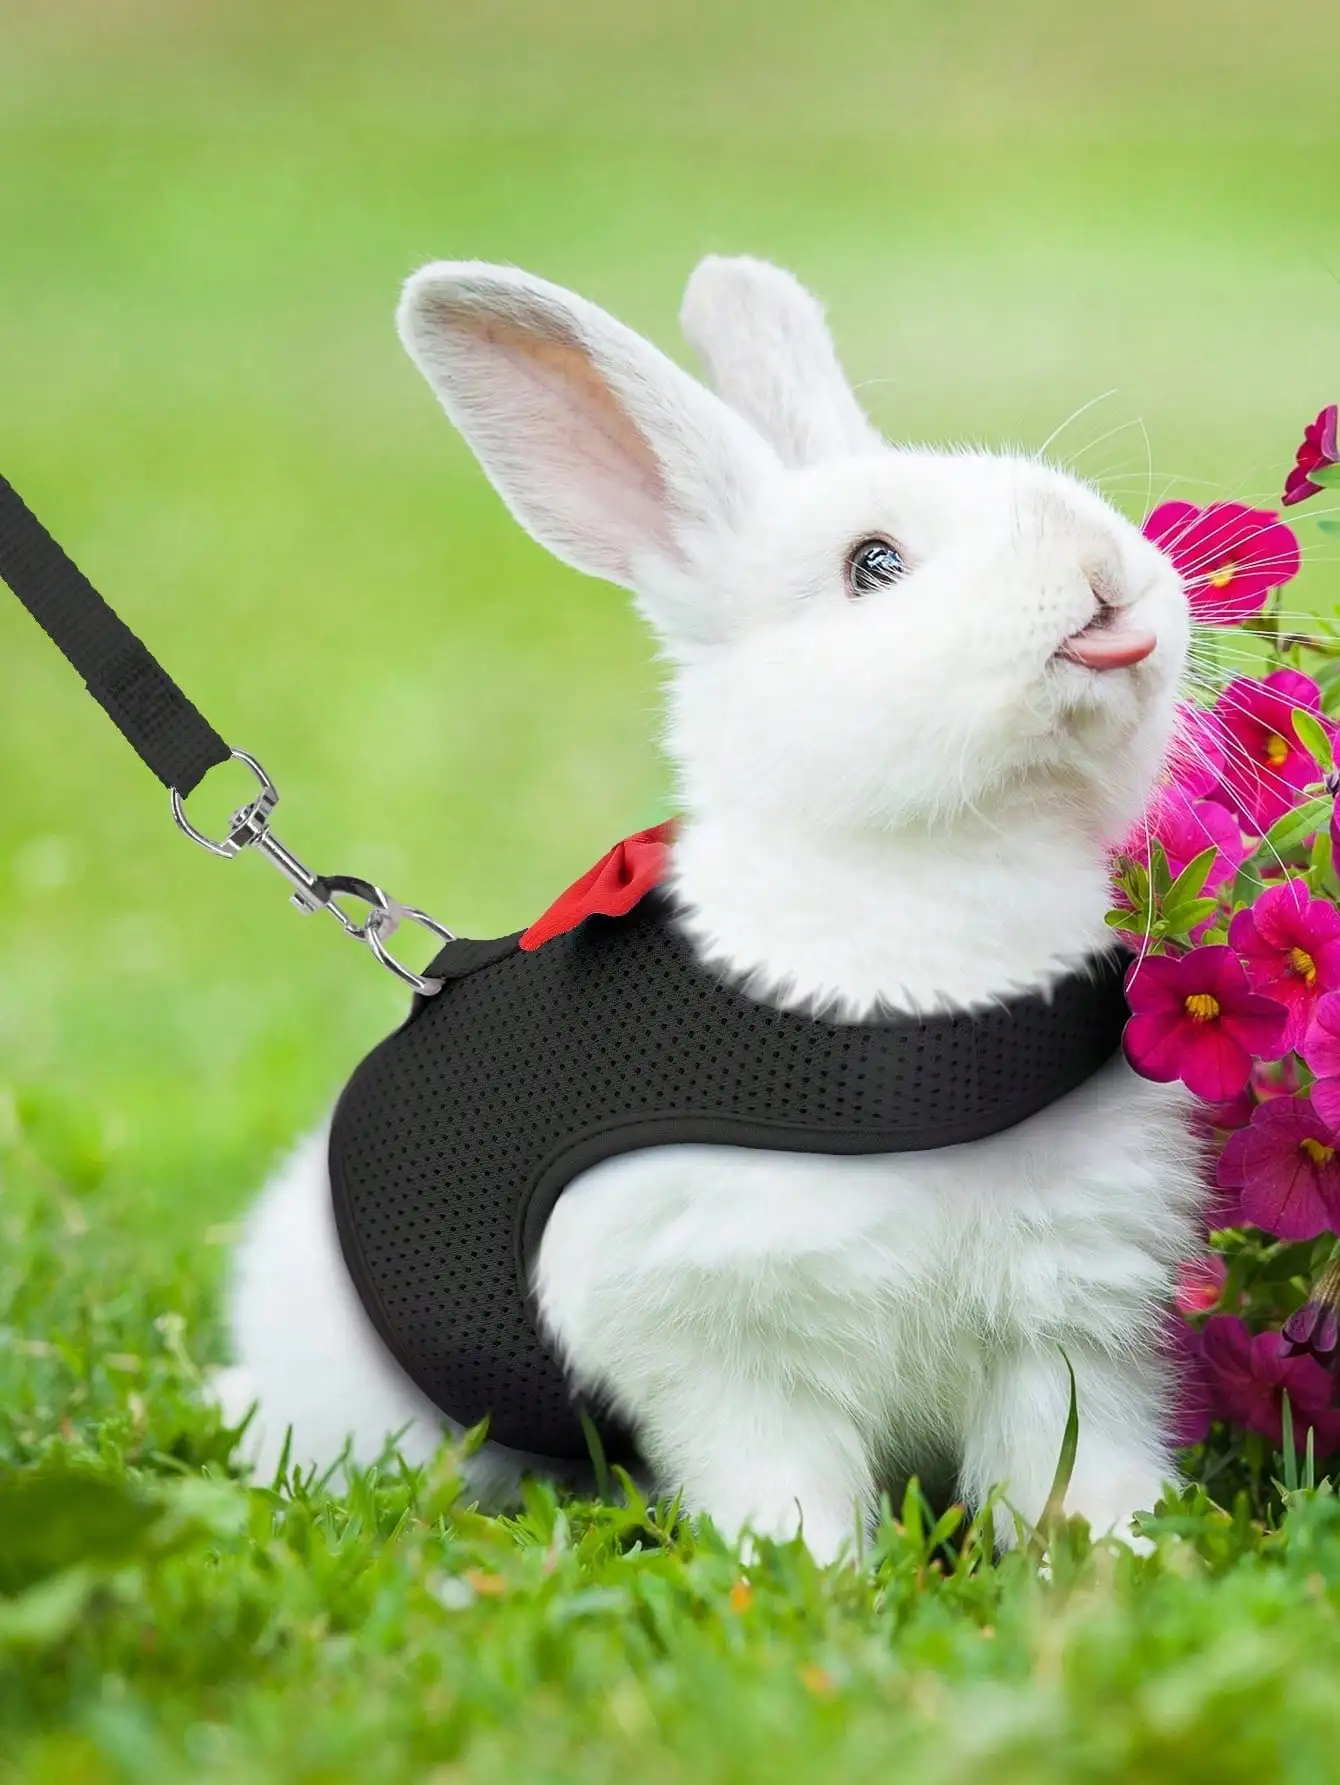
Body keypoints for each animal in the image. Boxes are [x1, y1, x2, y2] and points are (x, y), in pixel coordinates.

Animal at [215, 254, 1201, 1562]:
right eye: (872, 565)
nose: (1104, 568)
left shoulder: (1066, 1322)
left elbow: (1068, 1469)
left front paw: (1118, 1559)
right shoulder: (724, 1340)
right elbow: (776, 1475)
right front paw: (812, 1575)